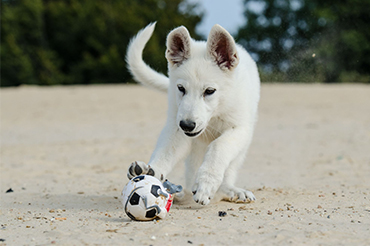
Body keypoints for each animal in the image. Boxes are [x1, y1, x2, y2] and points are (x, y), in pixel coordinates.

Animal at [126, 22, 260, 205]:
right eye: (181, 88)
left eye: (209, 91)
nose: (187, 125)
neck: (216, 111)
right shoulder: (176, 128)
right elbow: (165, 153)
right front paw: (151, 172)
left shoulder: (239, 128)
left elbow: (218, 147)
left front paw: (206, 184)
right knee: (190, 174)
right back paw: (180, 193)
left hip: (241, 148)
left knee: (228, 170)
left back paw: (229, 190)